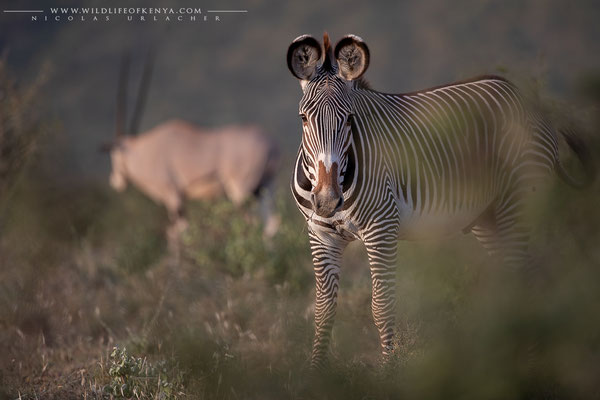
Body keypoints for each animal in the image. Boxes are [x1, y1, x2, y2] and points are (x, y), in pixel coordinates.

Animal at [288, 32, 592, 368]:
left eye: (349, 119)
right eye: (303, 118)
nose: (328, 200)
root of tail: (529, 101)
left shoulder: (382, 227)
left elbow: (381, 304)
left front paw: (388, 370)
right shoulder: (321, 235)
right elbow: (323, 310)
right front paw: (317, 372)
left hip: (519, 201)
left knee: (531, 278)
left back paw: (535, 361)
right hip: (489, 218)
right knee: (518, 279)